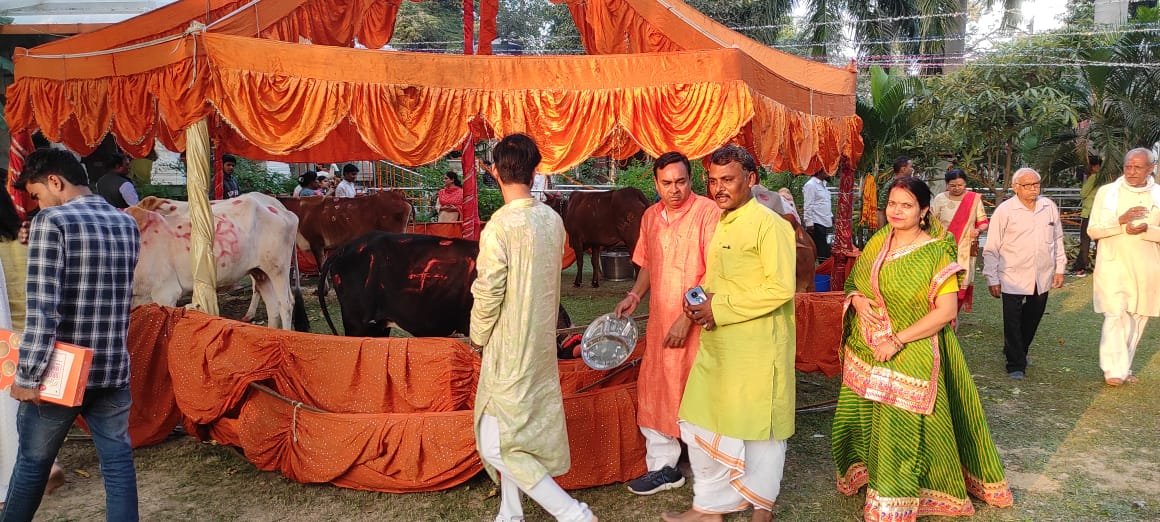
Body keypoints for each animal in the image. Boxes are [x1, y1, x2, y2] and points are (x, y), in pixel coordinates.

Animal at [124, 194, 309, 331]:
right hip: (260, 272)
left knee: (286, 304)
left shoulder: (165, 293)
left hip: (278, 269)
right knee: (272, 306)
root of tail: (284, 211)